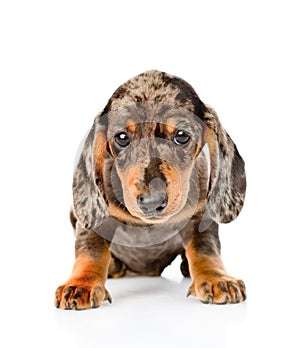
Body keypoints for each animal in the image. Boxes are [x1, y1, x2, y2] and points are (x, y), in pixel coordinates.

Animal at [54, 70, 246, 310]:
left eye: (181, 135)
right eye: (122, 137)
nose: (152, 203)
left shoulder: (200, 216)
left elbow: (205, 249)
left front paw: (217, 278)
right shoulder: (96, 220)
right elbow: (91, 250)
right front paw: (81, 283)